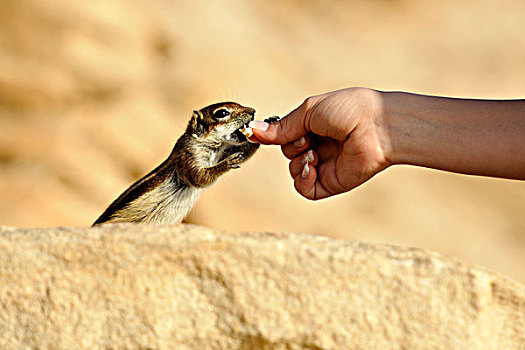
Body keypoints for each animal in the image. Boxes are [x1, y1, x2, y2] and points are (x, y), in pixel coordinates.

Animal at [92, 102, 270, 226]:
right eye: (222, 113)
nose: (253, 111)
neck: (213, 147)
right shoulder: (188, 158)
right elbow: (200, 178)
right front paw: (226, 164)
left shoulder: (222, 151)